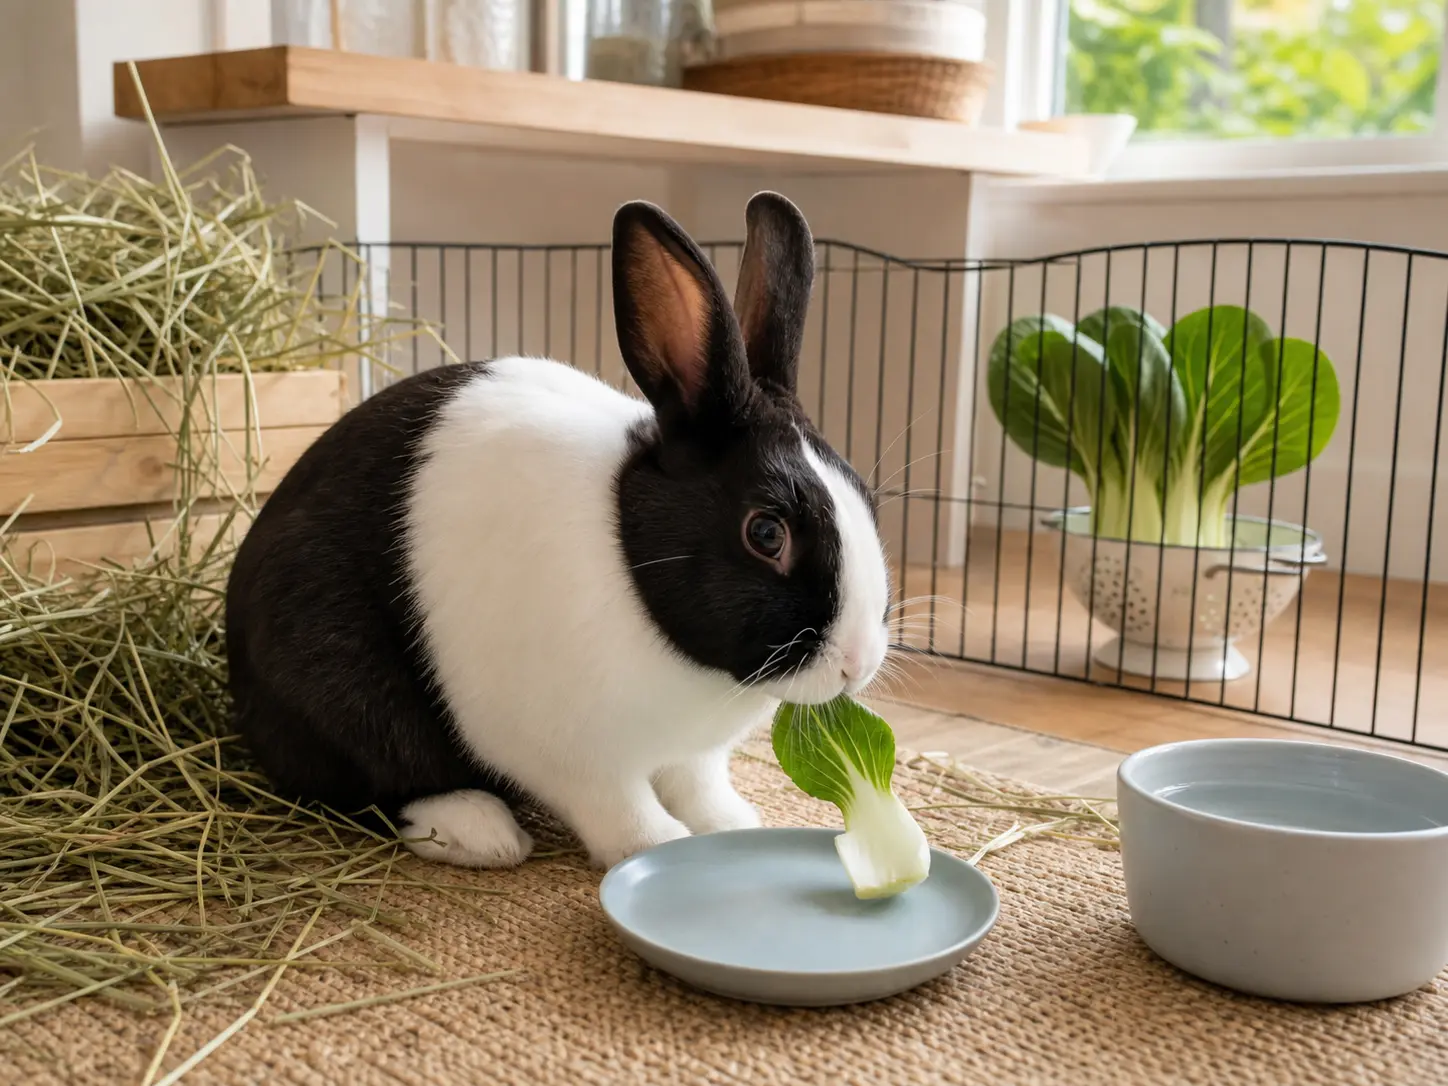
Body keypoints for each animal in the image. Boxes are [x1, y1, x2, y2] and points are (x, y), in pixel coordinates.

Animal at [224, 192, 892, 870]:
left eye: (866, 498)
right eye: (766, 534)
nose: (858, 663)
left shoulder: (694, 757)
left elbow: (699, 785)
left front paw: (730, 826)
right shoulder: (578, 757)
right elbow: (618, 807)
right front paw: (658, 845)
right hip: (336, 682)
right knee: (373, 782)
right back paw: (480, 832)